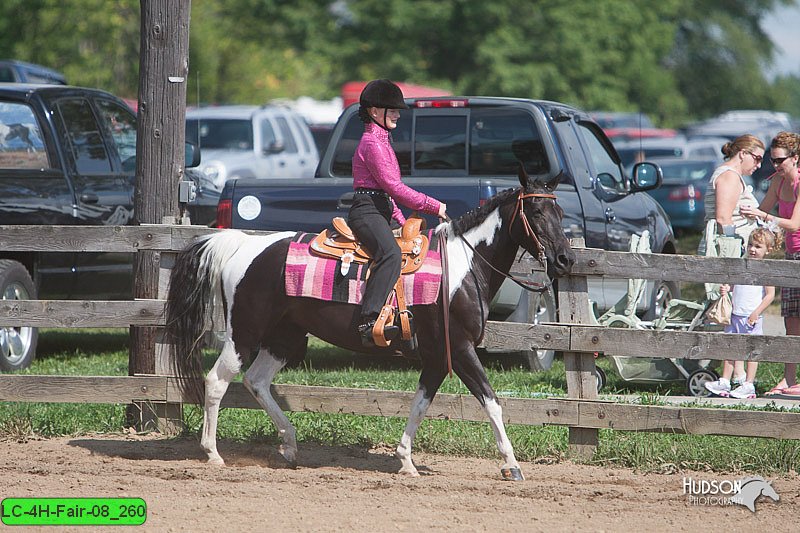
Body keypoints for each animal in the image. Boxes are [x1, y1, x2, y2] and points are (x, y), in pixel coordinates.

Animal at [166, 164, 576, 480]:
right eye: (536, 211)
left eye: (560, 214)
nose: (565, 260)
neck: (463, 266)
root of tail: (243, 245)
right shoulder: (460, 350)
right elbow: (491, 402)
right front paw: (512, 465)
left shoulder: (437, 357)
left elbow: (420, 403)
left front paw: (406, 460)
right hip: (244, 333)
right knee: (216, 381)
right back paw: (213, 453)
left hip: (285, 337)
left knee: (257, 381)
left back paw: (290, 445)